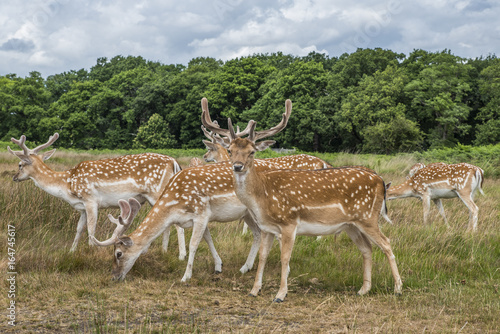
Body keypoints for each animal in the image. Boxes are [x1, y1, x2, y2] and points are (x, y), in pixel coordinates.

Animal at [6, 133, 187, 256]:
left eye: (20, 164)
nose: (14, 177)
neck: (67, 185)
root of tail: (174, 163)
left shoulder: (91, 200)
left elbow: (91, 228)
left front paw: (90, 249)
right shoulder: (81, 207)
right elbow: (79, 228)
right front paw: (72, 251)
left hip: (159, 192)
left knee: (176, 223)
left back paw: (181, 255)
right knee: (167, 224)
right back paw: (164, 250)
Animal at [200, 97, 402, 302]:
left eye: (252, 151)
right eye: (230, 150)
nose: (237, 166)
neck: (263, 196)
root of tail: (380, 180)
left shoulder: (289, 222)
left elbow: (285, 257)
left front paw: (280, 294)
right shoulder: (267, 227)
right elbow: (263, 256)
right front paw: (254, 290)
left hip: (368, 217)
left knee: (387, 243)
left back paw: (398, 288)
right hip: (351, 225)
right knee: (367, 249)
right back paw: (363, 289)